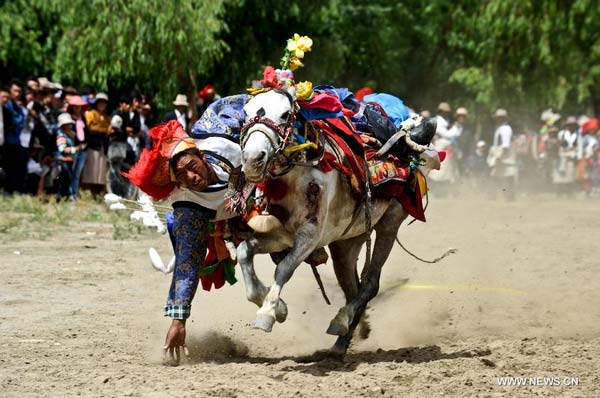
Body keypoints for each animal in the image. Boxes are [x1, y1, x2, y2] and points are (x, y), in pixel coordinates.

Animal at [237, 88, 438, 354]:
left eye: (285, 114)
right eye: (246, 113)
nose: (253, 159)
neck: (297, 178)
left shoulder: (309, 237)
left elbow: (284, 268)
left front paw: (268, 313)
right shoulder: (281, 236)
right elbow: (244, 253)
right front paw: (279, 309)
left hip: (389, 224)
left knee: (370, 284)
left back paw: (340, 321)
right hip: (346, 242)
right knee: (352, 287)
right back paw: (342, 341)